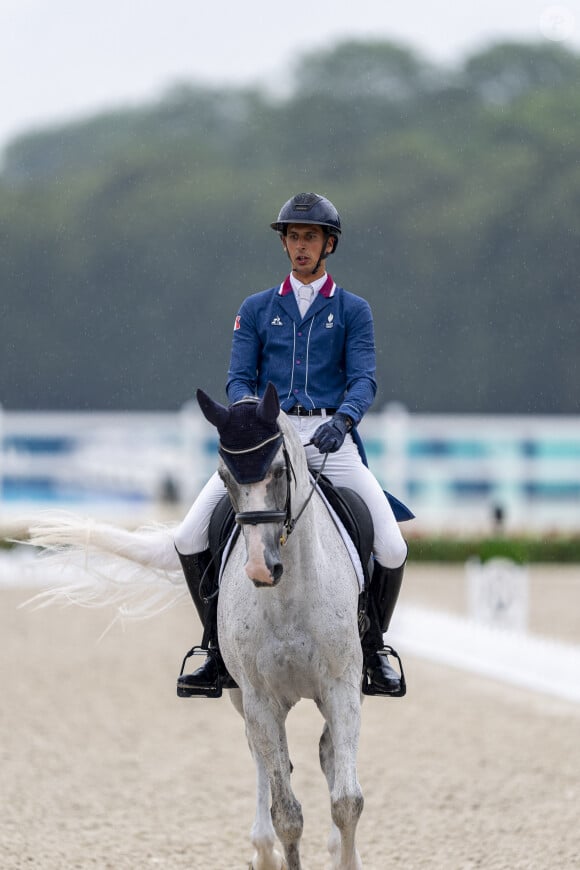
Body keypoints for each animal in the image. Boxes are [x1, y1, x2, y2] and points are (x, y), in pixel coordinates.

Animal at [23, 386, 368, 870]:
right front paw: (280, 847)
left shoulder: (342, 685)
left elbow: (346, 800)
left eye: (279, 471)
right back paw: (263, 850)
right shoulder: (259, 697)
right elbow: (287, 812)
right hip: (246, 698)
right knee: (263, 760)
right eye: (224, 476)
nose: (260, 568)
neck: (289, 596)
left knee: (327, 754)